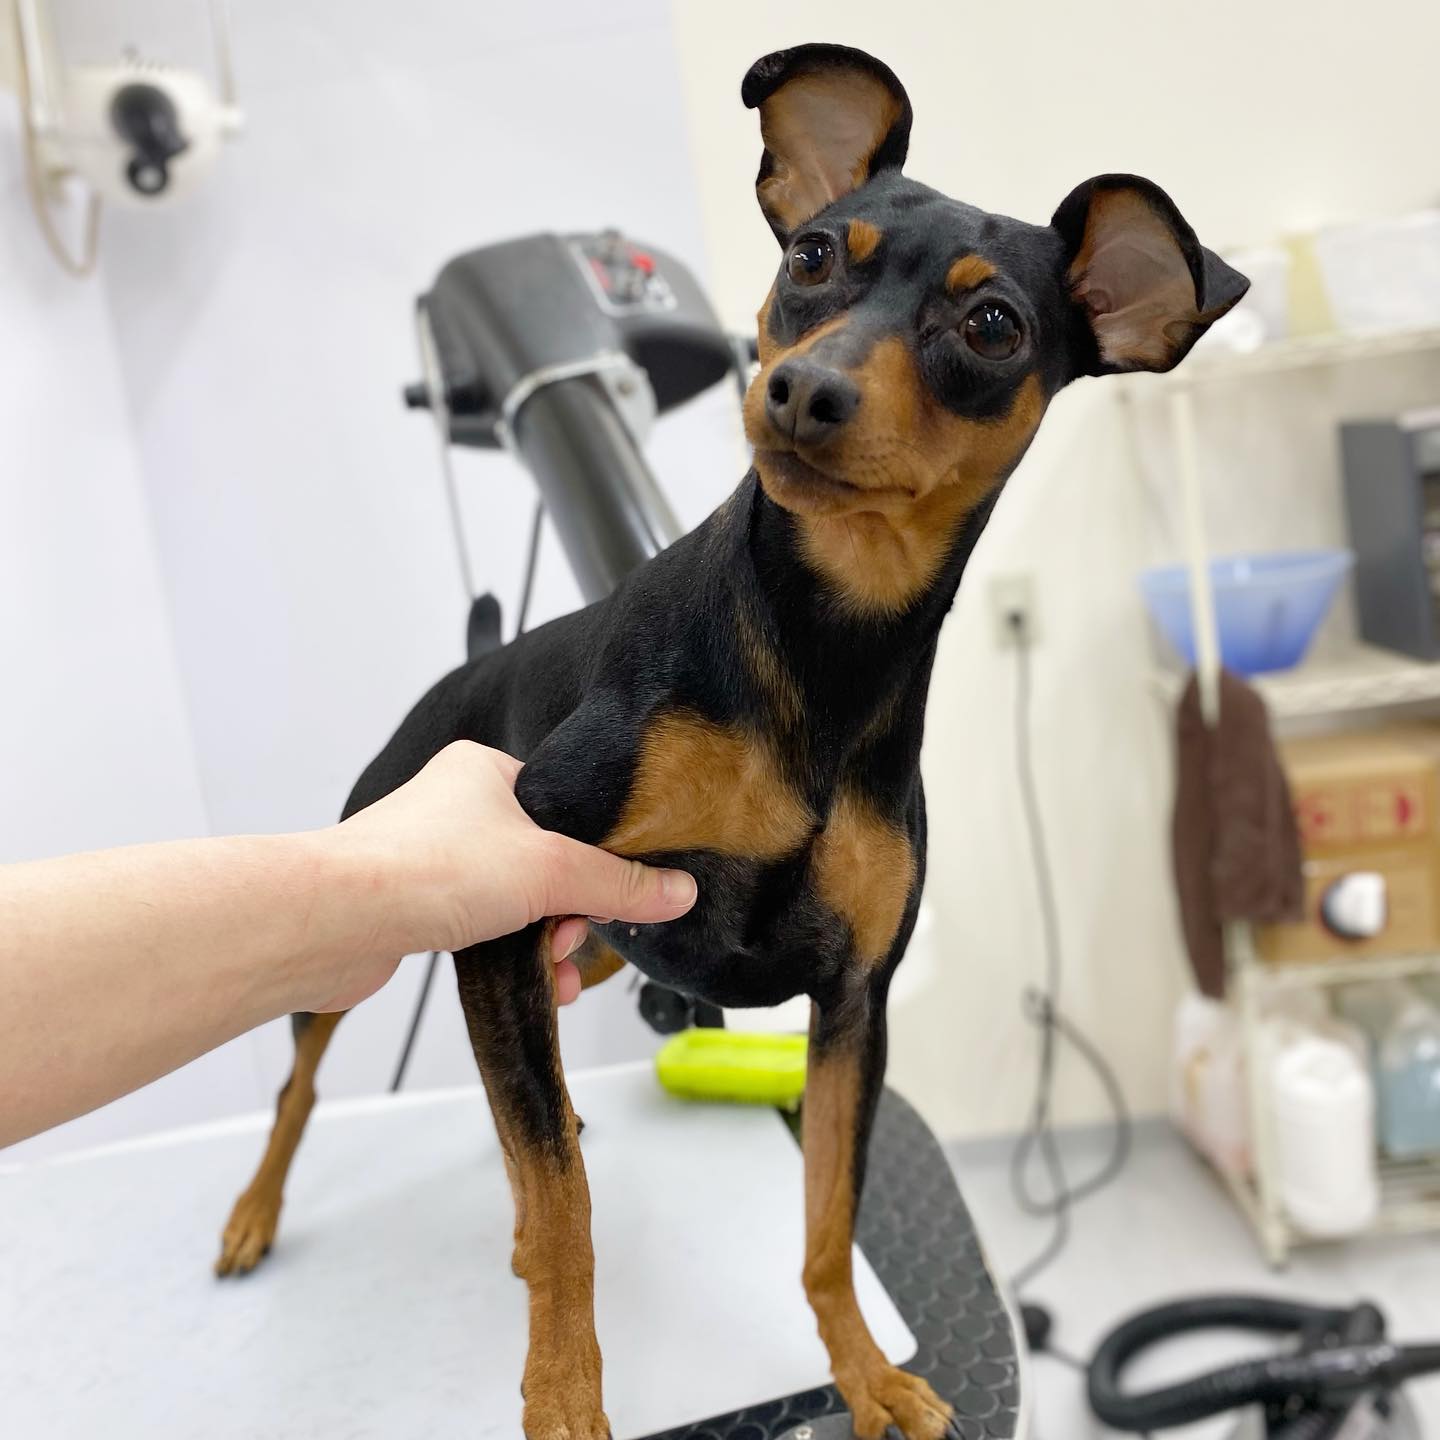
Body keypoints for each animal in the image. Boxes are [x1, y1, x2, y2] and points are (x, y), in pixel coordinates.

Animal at [216, 42, 1246, 1440]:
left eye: (993, 327)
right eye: (809, 256)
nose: (802, 390)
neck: (824, 653)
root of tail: (468, 664)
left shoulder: (852, 1008)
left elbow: (824, 1227)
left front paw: (865, 1376)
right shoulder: (509, 907)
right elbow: (566, 1212)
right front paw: (564, 1399)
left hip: (593, 942)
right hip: (380, 920)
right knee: (310, 1085)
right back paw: (255, 1214)